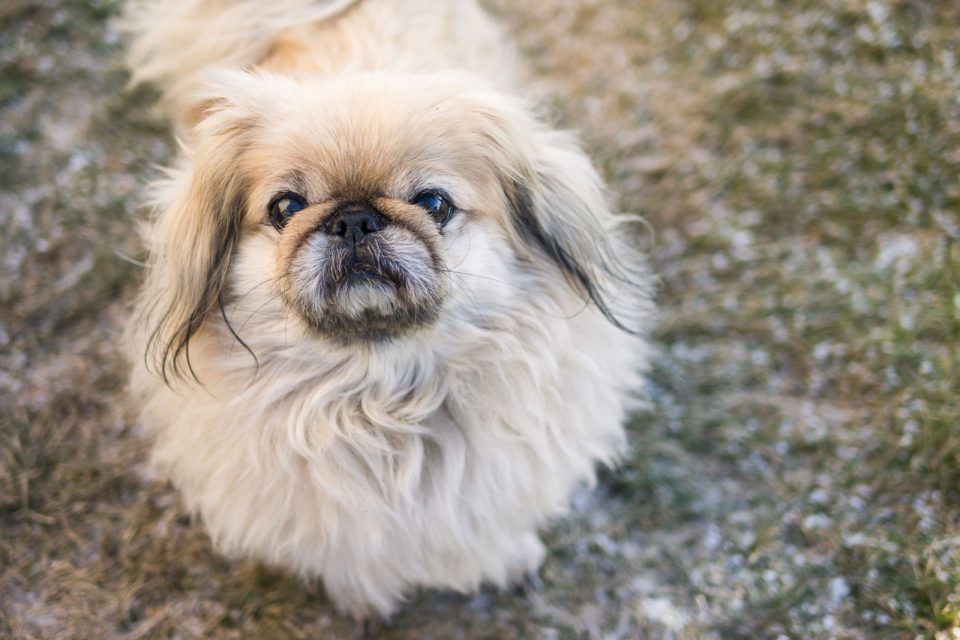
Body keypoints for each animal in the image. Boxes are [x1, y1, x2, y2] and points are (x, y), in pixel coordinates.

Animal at [125, 0, 652, 624]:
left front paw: (506, 560)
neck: (381, 396)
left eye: (433, 203)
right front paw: (360, 597)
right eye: (286, 208)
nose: (353, 219)